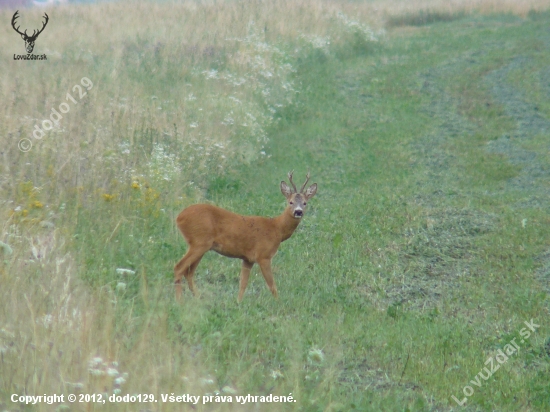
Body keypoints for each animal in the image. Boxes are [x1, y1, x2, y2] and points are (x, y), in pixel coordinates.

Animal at [175, 172, 316, 300]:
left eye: (305, 203)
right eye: (290, 202)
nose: (298, 212)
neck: (276, 228)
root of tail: (179, 217)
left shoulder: (248, 259)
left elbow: (243, 284)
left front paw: (238, 303)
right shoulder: (263, 255)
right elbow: (272, 285)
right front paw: (278, 303)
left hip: (200, 245)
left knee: (189, 272)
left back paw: (197, 299)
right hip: (199, 242)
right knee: (179, 268)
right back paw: (180, 301)